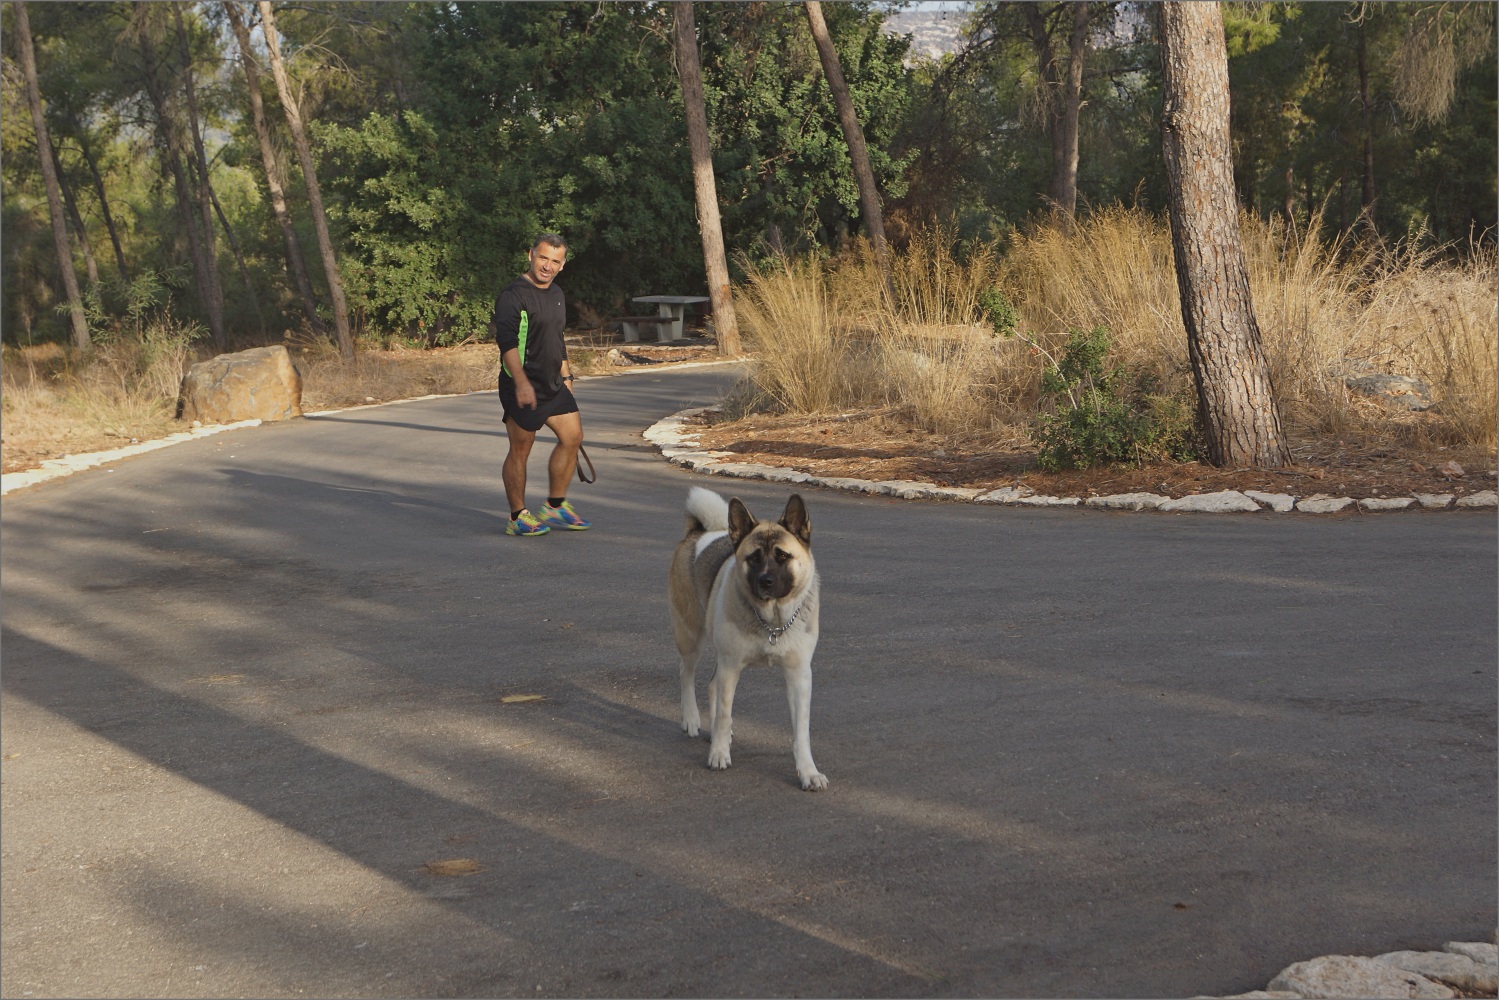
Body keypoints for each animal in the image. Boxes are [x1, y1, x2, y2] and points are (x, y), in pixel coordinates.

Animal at [671, 485, 833, 791]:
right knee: (686, 673)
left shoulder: (799, 677)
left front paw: (808, 772)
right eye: (754, 558)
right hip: (691, 636)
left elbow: (801, 732)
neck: (772, 623)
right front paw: (719, 753)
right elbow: (723, 714)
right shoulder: (731, 667)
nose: (765, 582)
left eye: (783, 557)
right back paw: (692, 719)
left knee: (711, 684)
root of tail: (699, 532)